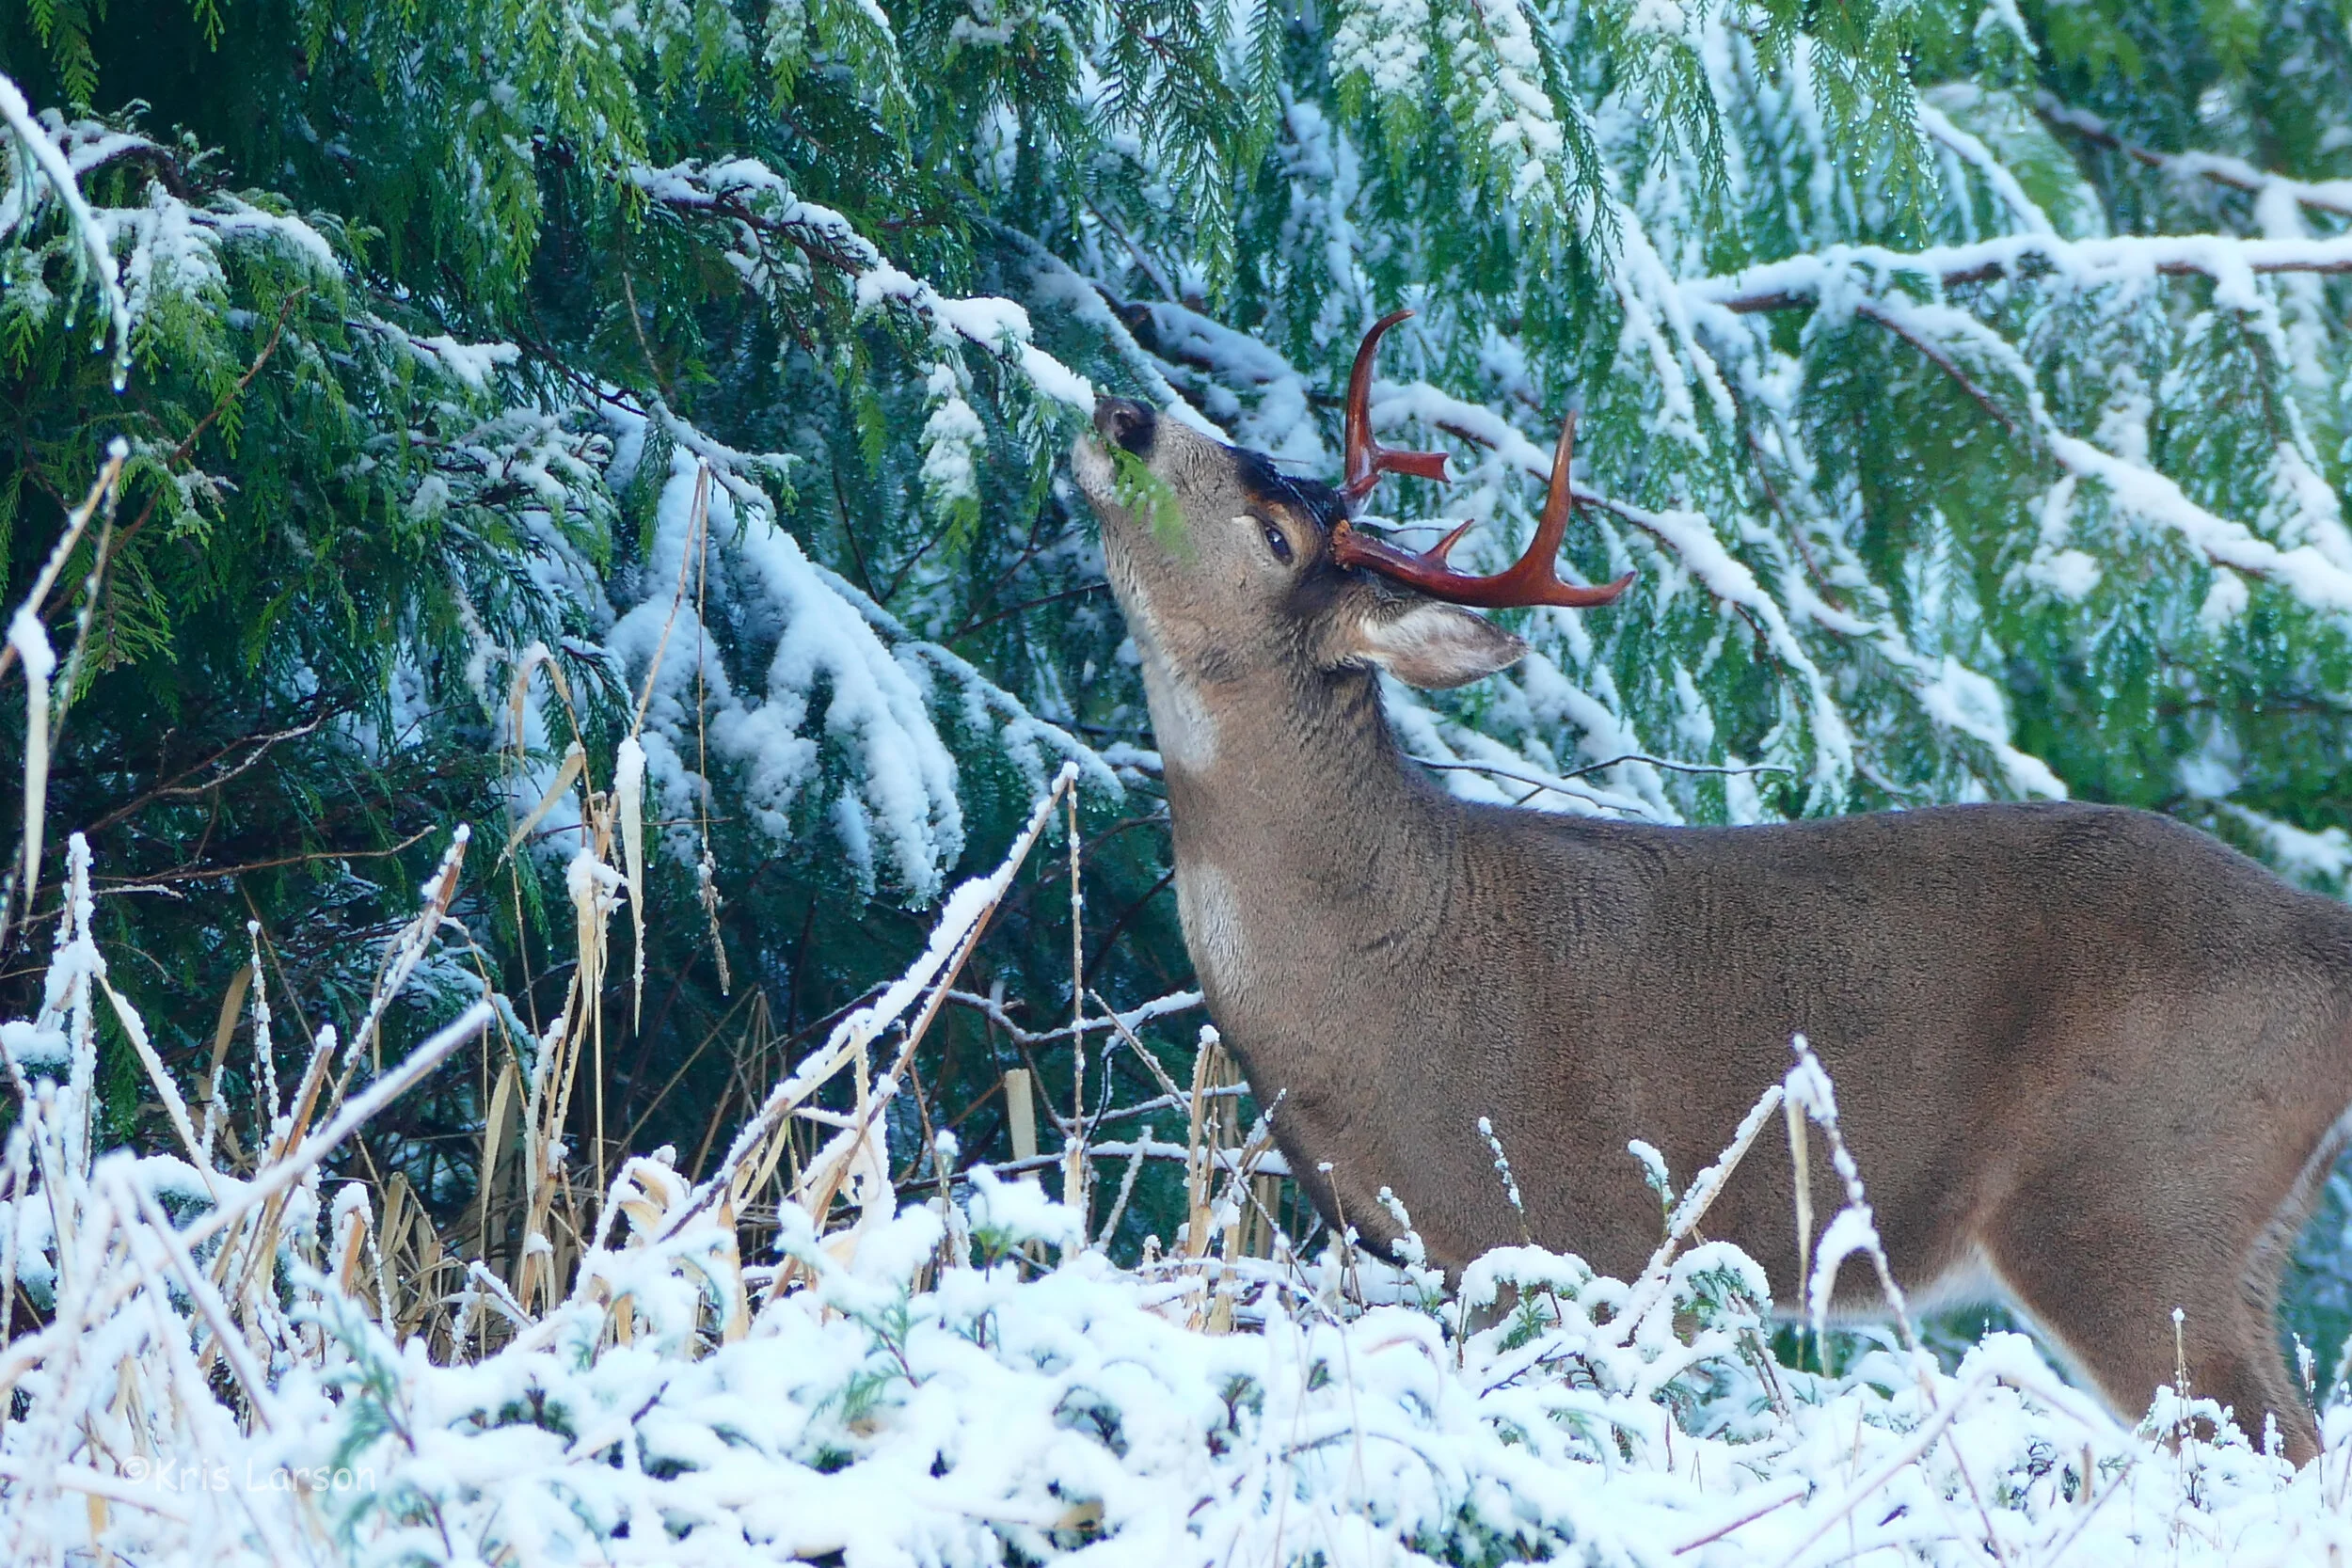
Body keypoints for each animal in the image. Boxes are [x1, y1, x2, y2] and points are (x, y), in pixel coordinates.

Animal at [1069, 310, 2352, 1463]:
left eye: (1276, 536)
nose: (1123, 416)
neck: (1378, 953)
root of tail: (2320, 932)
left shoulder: (1569, 1223)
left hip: (2130, 1199)